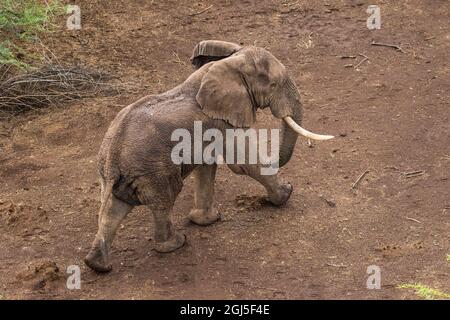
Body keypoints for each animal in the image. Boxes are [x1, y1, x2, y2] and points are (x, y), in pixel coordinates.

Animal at [84, 40, 332, 272]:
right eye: (274, 85)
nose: (289, 183)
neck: (230, 63)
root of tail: (112, 160)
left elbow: (207, 165)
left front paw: (205, 221)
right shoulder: (222, 121)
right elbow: (242, 162)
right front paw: (286, 194)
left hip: (119, 176)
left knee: (113, 210)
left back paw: (97, 265)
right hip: (154, 172)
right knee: (164, 201)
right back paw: (175, 244)